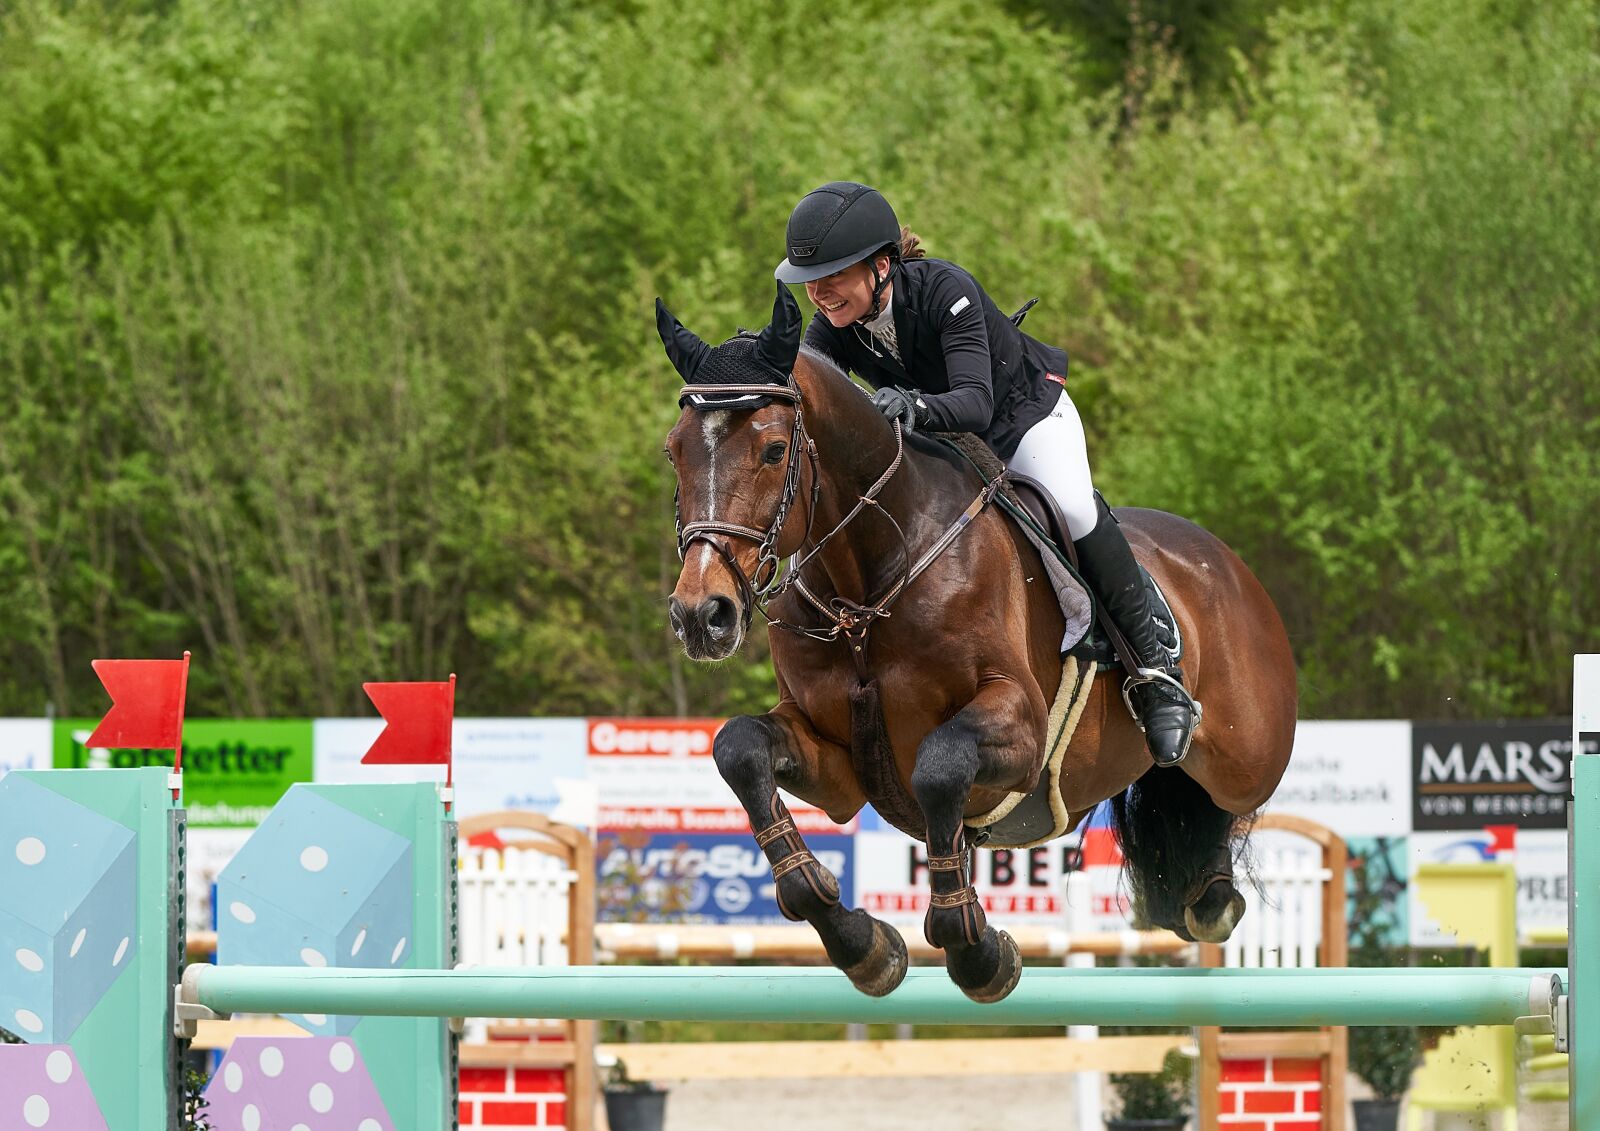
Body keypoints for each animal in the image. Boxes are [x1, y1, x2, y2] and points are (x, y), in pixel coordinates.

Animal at [656, 283, 1292, 998]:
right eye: (674, 451)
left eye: (770, 451)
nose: (701, 615)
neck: (869, 582)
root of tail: (1226, 564)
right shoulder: (840, 765)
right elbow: (740, 749)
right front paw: (863, 944)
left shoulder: (1022, 728)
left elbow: (941, 765)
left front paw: (977, 951)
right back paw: (1202, 890)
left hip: (1247, 755)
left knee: (1226, 795)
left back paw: (1181, 767)